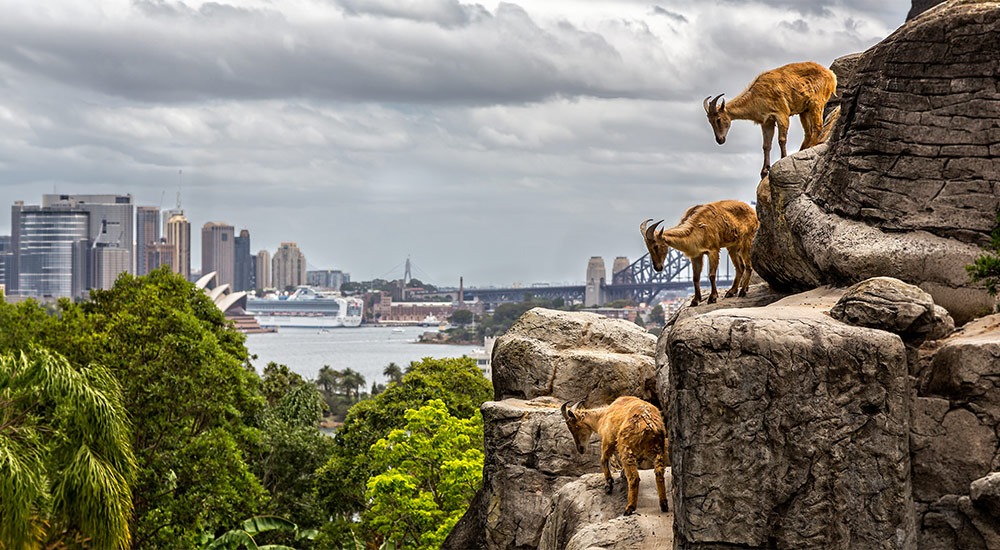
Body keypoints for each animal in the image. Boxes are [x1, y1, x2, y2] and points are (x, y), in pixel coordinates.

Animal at [704, 61, 837, 179]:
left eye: (718, 119)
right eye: (710, 121)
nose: (720, 140)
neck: (756, 95)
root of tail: (831, 76)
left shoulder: (782, 113)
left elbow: (781, 140)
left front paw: (783, 159)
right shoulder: (767, 121)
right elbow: (766, 145)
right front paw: (764, 172)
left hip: (816, 103)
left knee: (817, 126)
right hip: (804, 111)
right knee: (808, 131)